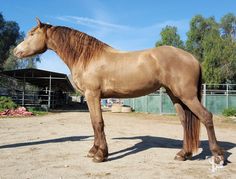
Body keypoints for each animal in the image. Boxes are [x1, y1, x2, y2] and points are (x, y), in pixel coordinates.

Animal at [13, 18, 224, 164]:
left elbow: (98, 123)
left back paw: (218, 156)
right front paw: (94, 150)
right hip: (176, 96)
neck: (87, 57)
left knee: (206, 117)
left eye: (31, 34)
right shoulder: (91, 97)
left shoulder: (92, 95)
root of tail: (192, 58)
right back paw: (183, 154)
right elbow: (93, 123)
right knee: (185, 122)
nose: (16, 52)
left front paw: (100, 155)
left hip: (187, 96)